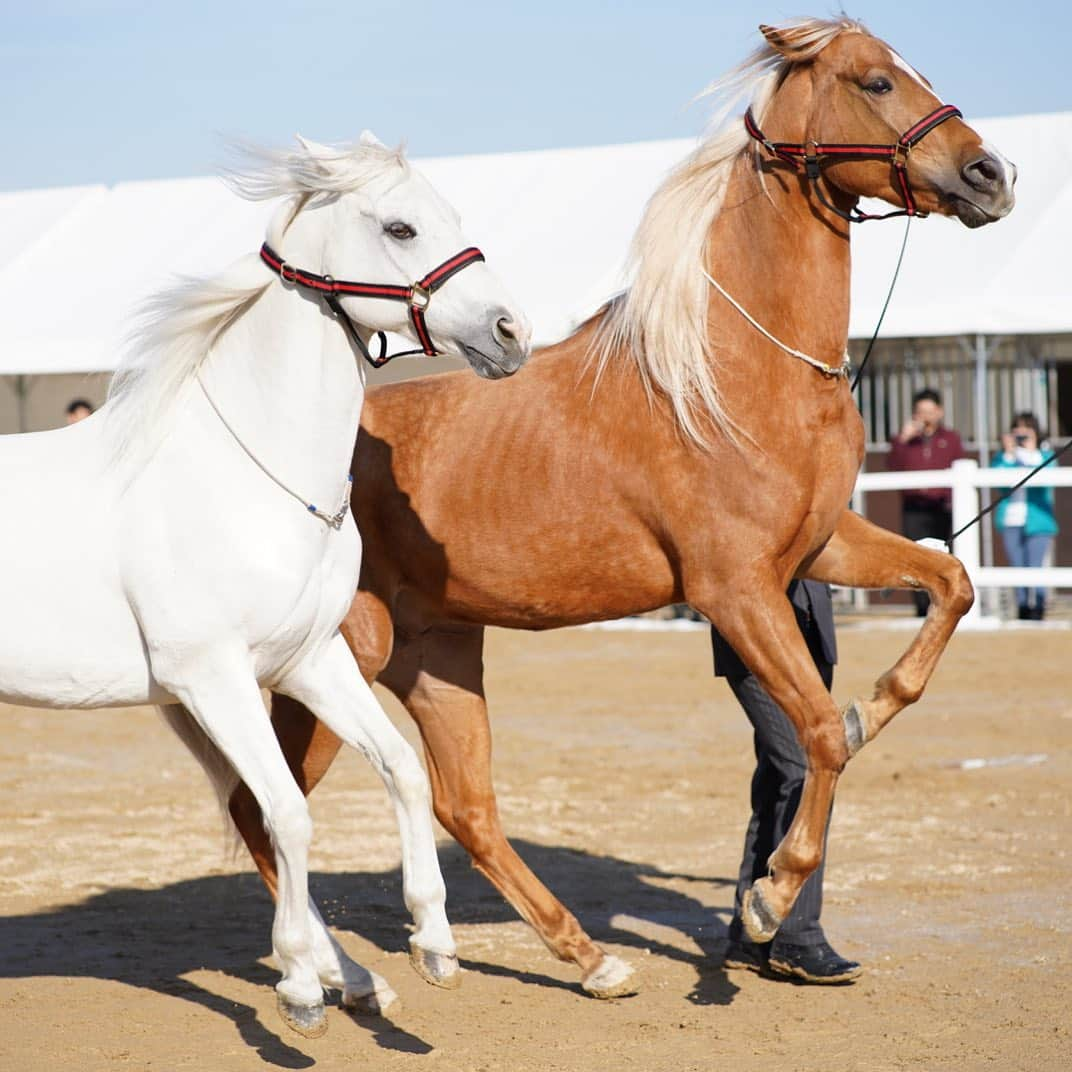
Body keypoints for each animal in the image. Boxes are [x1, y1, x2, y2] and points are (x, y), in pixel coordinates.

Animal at [2, 129, 529, 1033]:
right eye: (399, 227)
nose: (511, 331)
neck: (245, 474)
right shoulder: (211, 678)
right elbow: (288, 813)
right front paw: (297, 987)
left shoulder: (307, 663)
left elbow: (401, 768)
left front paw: (431, 944)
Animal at [226, 16, 1011, 999]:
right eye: (874, 81)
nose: (990, 175)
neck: (733, 370)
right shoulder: (734, 589)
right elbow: (820, 735)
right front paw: (769, 899)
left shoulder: (819, 550)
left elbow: (949, 586)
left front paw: (874, 708)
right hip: (340, 660)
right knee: (263, 807)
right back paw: (339, 973)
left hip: (436, 654)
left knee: (463, 805)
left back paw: (591, 961)